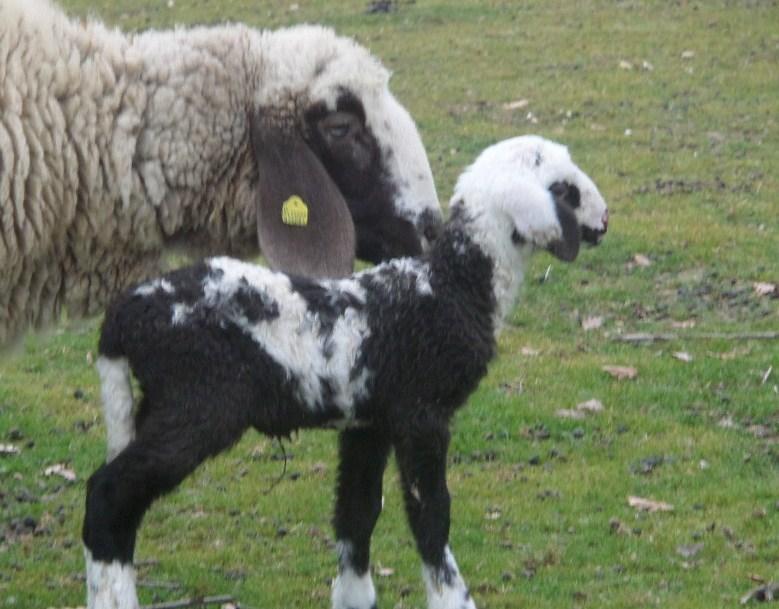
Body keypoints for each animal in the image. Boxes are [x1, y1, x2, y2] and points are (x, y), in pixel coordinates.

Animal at [84, 135, 608, 608]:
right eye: (565, 189)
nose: (604, 221)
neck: (451, 287)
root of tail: (124, 318)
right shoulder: (422, 414)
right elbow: (431, 516)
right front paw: (451, 597)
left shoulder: (367, 420)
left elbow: (357, 513)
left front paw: (355, 596)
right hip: (199, 403)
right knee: (109, 494)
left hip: (157, 404)